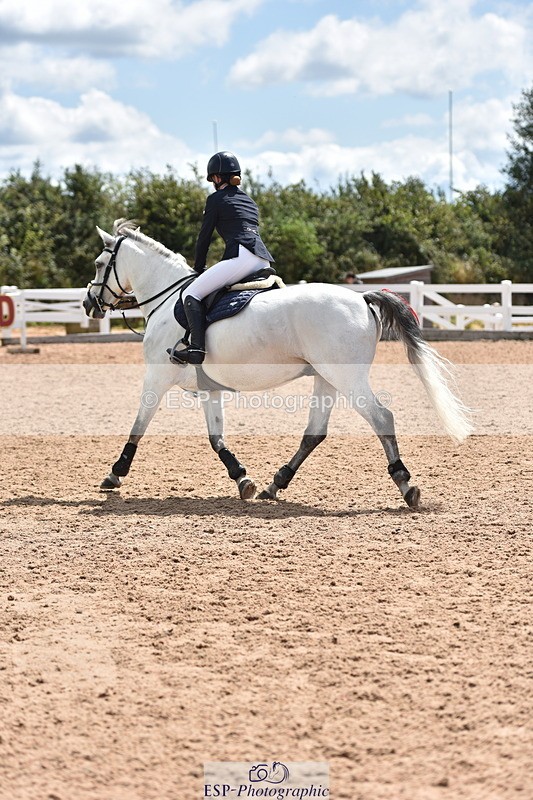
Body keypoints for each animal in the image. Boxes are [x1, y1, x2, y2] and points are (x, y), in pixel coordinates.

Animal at [83, 219, 472, 509]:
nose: (89, 304)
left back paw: (406, 485)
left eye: (100, 264)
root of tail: (361, 298)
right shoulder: (208, 389)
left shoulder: (157, 377)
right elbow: (216, 437)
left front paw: (115, 474)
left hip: (346, 377)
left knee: (381, 418)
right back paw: (275, 484)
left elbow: (138, 426)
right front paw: (243, 479)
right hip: (327, 377)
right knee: (315, 431)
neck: (167, 299)